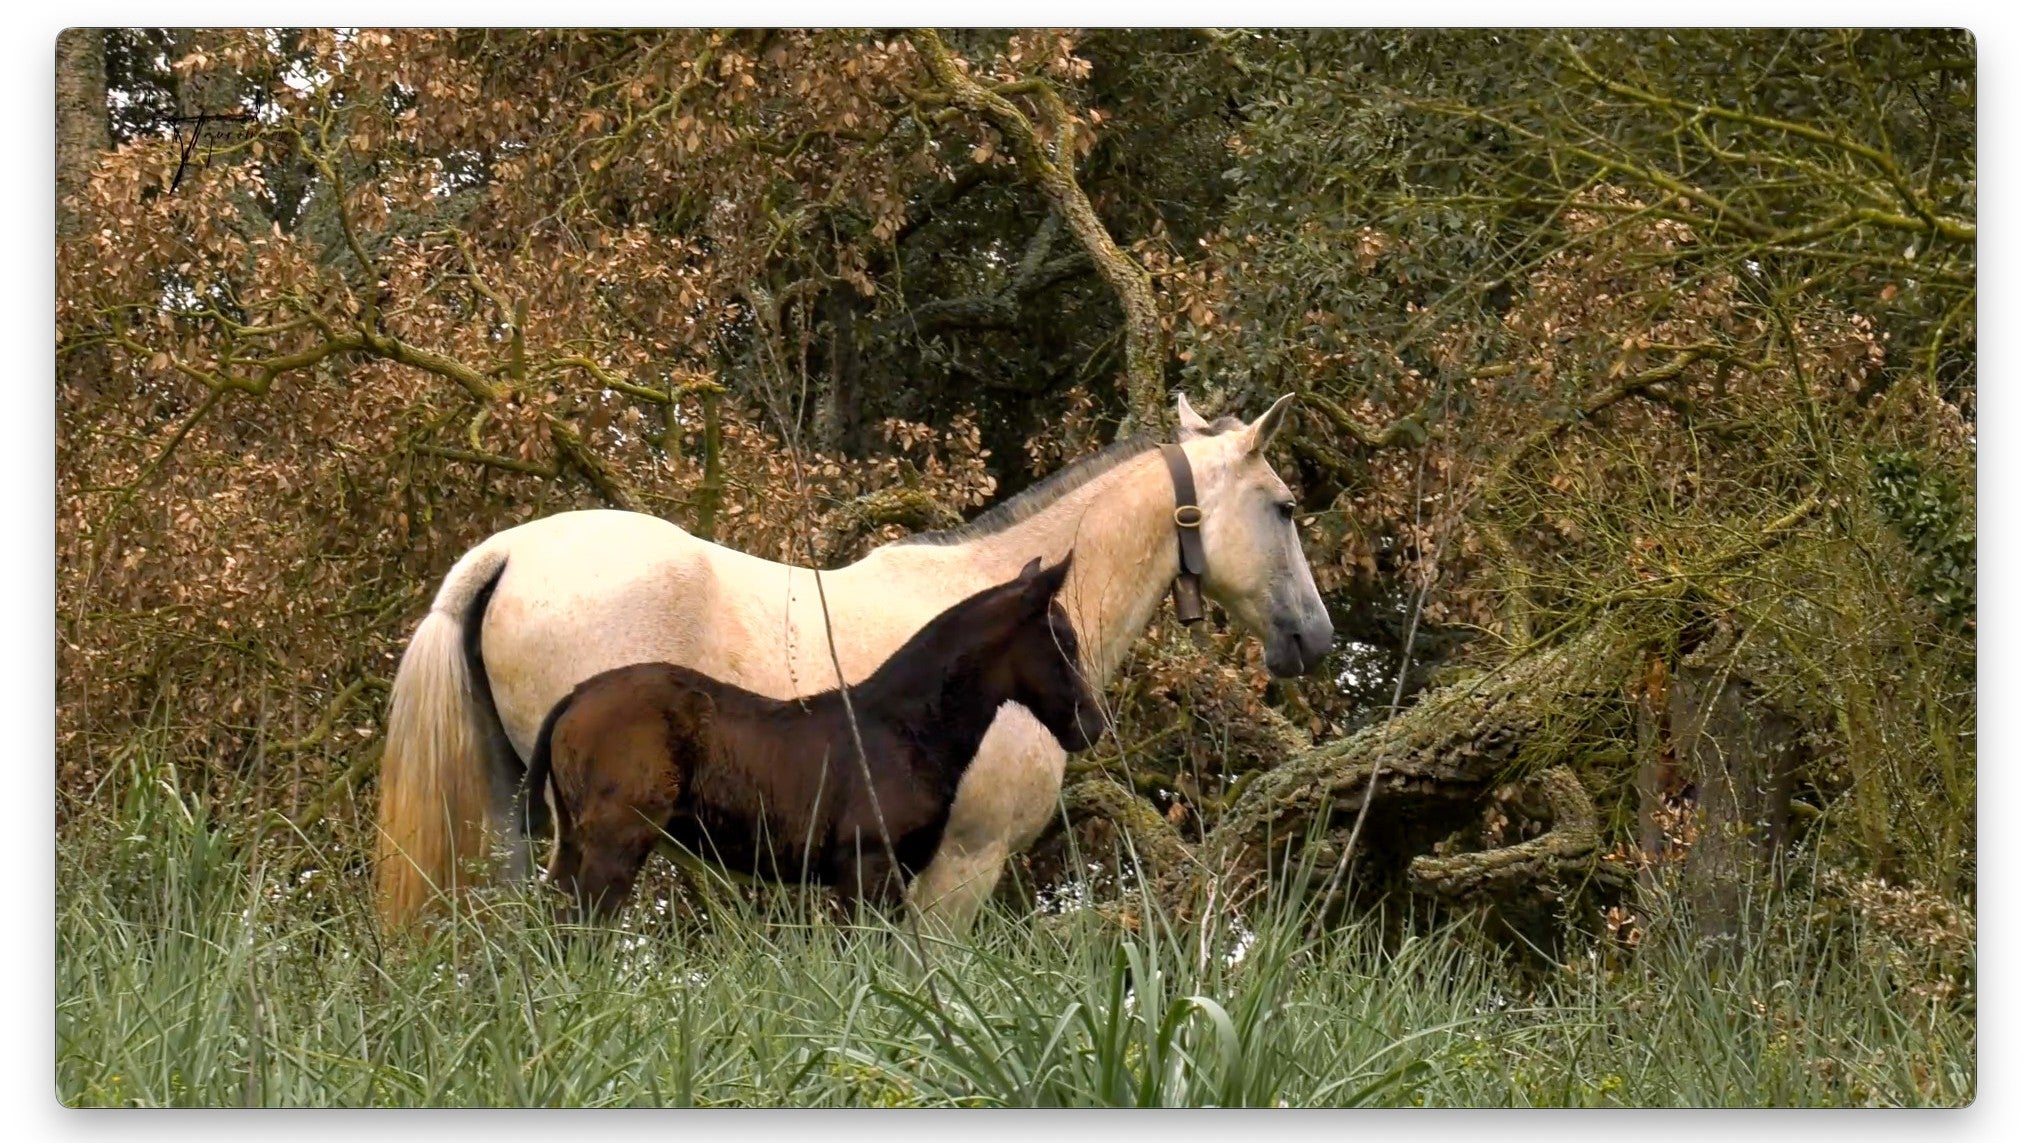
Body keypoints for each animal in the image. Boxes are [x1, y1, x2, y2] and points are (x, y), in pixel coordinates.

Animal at [522, 554, 1101, 918]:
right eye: (1064, 640)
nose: (1092, 725)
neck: (906, 732)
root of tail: (575, 695)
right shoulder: (866, 870)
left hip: (575, 841)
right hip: (616, 842)